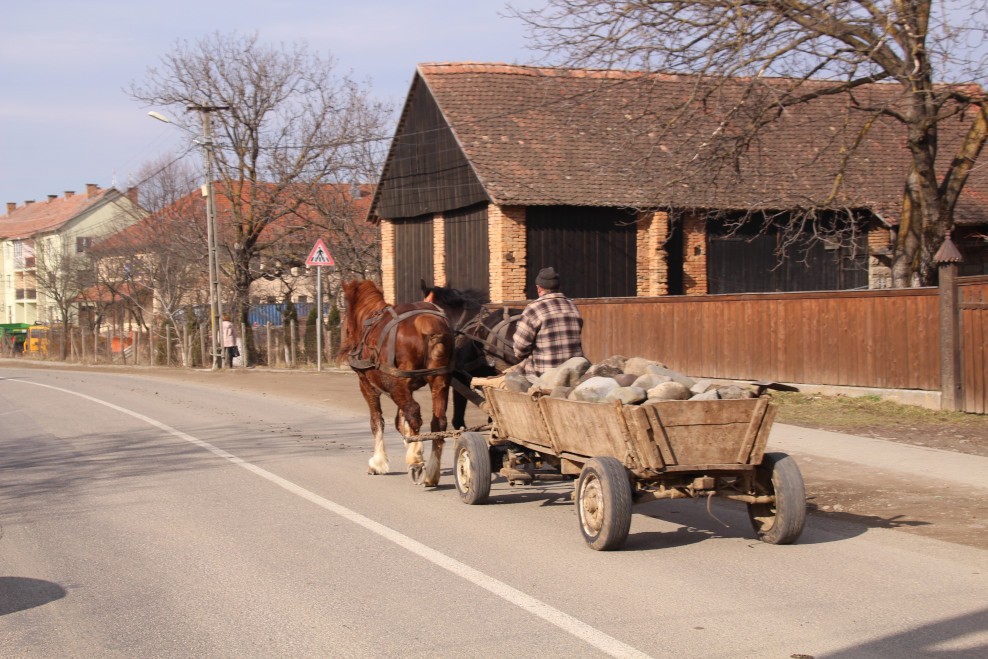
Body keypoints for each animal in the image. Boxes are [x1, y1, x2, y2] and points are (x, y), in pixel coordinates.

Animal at [339, 279, 454, 486]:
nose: (344, 330)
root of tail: (427, 323)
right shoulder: (405, 387)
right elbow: (400, 421)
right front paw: (412, 445)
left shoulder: (367, 384)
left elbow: (377, 421)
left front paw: (378, 462)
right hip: (439, 380)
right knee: (438, 421)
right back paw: (432, 471)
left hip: (397, 383)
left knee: (413, 412)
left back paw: (416, 461)